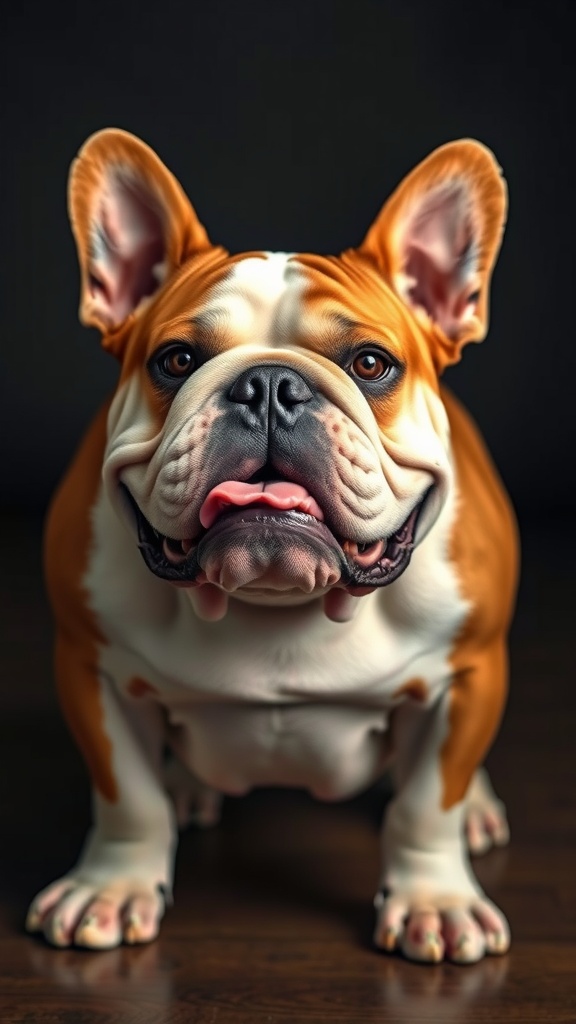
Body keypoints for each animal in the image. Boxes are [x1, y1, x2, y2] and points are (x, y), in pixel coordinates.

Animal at [25, 130, 516, 958]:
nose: (269, 384)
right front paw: (112, 888)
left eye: (372, 364)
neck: (278, 605)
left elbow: (426, 803)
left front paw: (435, 902)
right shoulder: (90, 666)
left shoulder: (470, 672)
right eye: (176, 361)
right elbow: (129, 798)